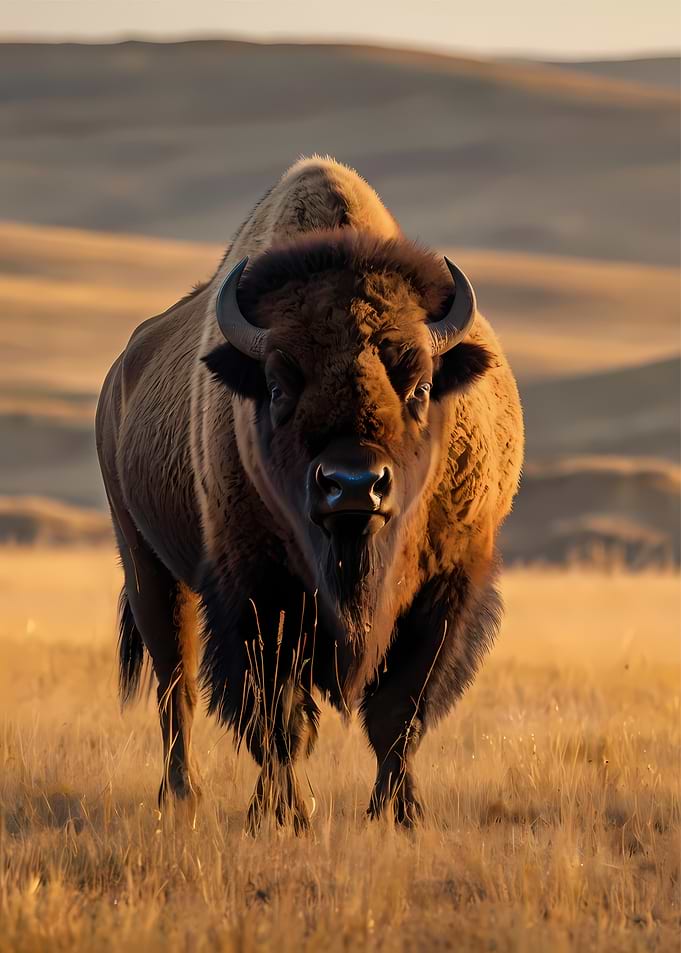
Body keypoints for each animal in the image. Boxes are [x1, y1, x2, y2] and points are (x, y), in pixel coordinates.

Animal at [96, 156, 523, 831]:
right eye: (276, 386)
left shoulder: (447, 586)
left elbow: (398, 711)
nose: (353, 485)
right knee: (175, 686)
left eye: (421, 384)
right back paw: (182, 796)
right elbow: (276, 713)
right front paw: (284, 813)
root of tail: (119, 378)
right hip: (146, 565)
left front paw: (399, 814)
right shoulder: (257, 591)